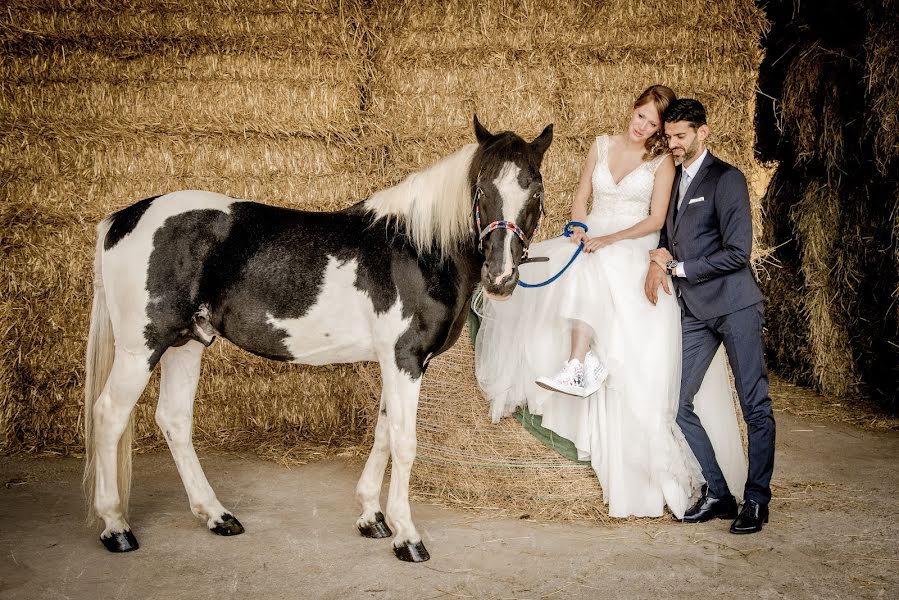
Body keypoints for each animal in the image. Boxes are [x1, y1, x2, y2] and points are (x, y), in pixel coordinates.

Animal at [84, 116, 552, 564]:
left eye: (535, 190)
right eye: (481, 188)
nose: (500, 277)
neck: (416, 249)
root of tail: (122, 219)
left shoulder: (395, 361)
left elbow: (384, 433)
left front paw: (372, 517)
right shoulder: (405, 358)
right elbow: (404, 442)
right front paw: (406, 536)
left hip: (186, 344)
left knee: (175, 420)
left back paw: (217, 516)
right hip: (141, 347)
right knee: (108, 415)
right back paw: (116, 528)